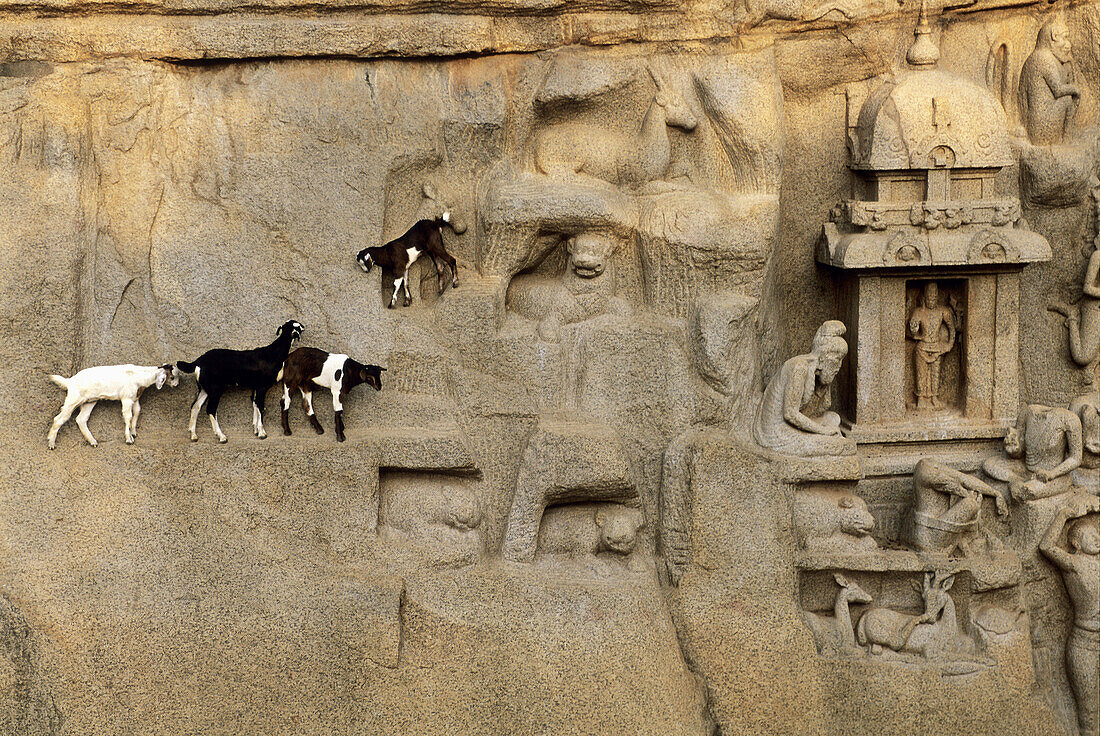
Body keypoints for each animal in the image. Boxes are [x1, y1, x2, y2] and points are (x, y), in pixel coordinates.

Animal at [47, 360, 180, 448]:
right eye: (172, 377)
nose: (176, 385)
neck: (139, 376)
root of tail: (70, 381)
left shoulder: (135, 398)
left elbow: (137, 412)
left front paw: (133, 432)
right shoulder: (126, 398)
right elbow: (128, 416)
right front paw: (129, 439)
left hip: (90, 401)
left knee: (81, 419)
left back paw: (93, 441)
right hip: (74, 399)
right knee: (59, 418)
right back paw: (51, 443)